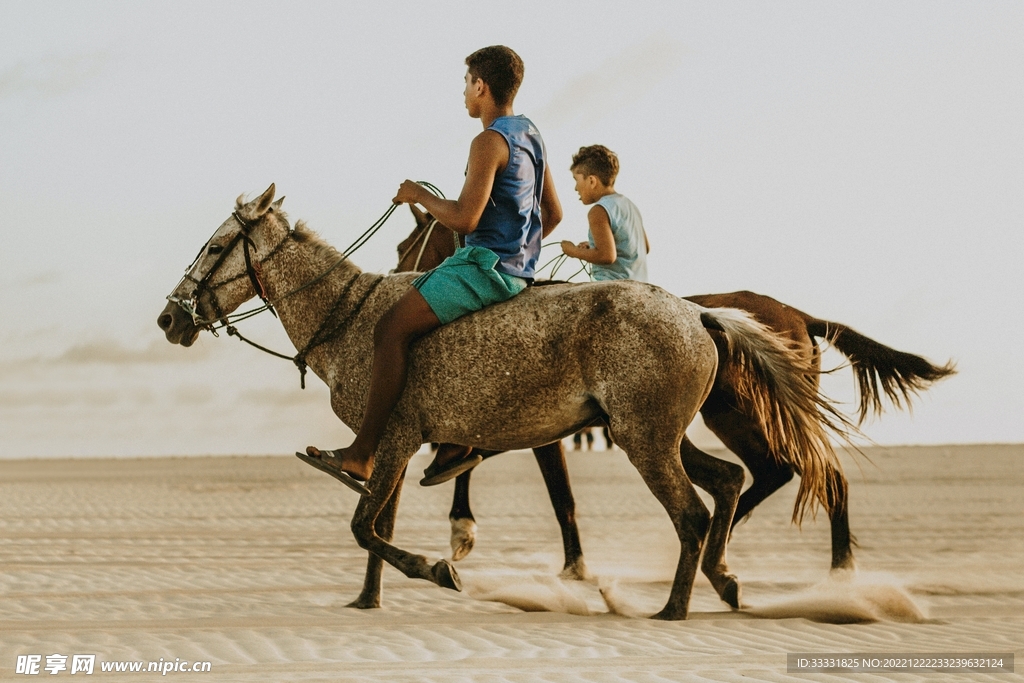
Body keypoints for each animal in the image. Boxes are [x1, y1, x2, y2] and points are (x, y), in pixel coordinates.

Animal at [158, 185, 849, 619]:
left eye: (216, 247)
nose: (170, 318)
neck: (348, 316)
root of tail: (700, 314)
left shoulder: (396, 436)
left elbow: (364, 525)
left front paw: (439, 569)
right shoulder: (399, 445)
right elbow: (377, 525)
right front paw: (368, 599)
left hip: (647, 439)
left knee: (693, 512)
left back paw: (673, 608)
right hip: (658, 433)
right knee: (728, 481)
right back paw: (723, 579)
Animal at [396, 205, 956, 588]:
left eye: (408, 244)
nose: (399, 273)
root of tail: (797, 314)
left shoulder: (541, 431)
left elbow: (557, 496)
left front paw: (488, 537)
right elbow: (471, 461)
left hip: (750, 416)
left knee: (815, 473)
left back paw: (837, 572)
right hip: (733, 419)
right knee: (773, 472)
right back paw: (726, 547)